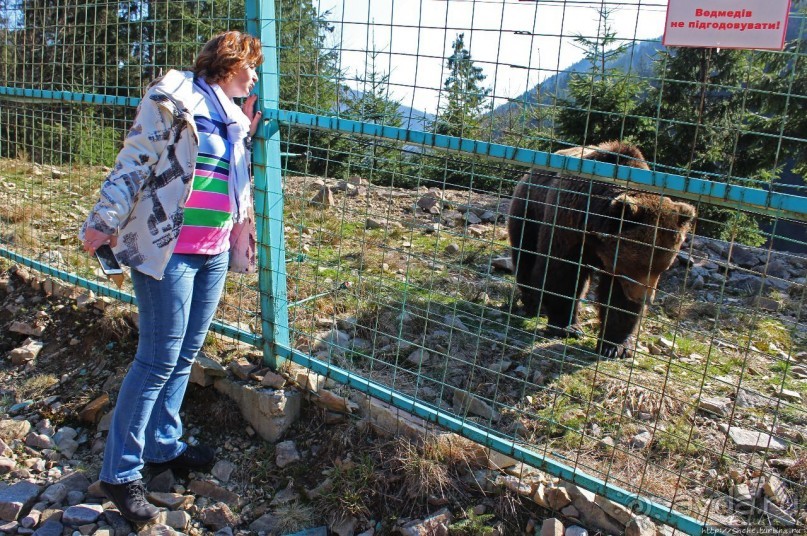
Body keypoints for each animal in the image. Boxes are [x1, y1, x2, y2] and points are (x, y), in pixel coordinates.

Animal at [512, 140, 696, 358]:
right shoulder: (568, 226)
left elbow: (618, 298)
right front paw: (567, 326)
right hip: (529, 209)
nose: (644, 299)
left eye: (663, 267)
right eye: (638, 266)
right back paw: (533, 302)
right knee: (526, 255)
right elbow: (562, 273)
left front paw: (615, 346)